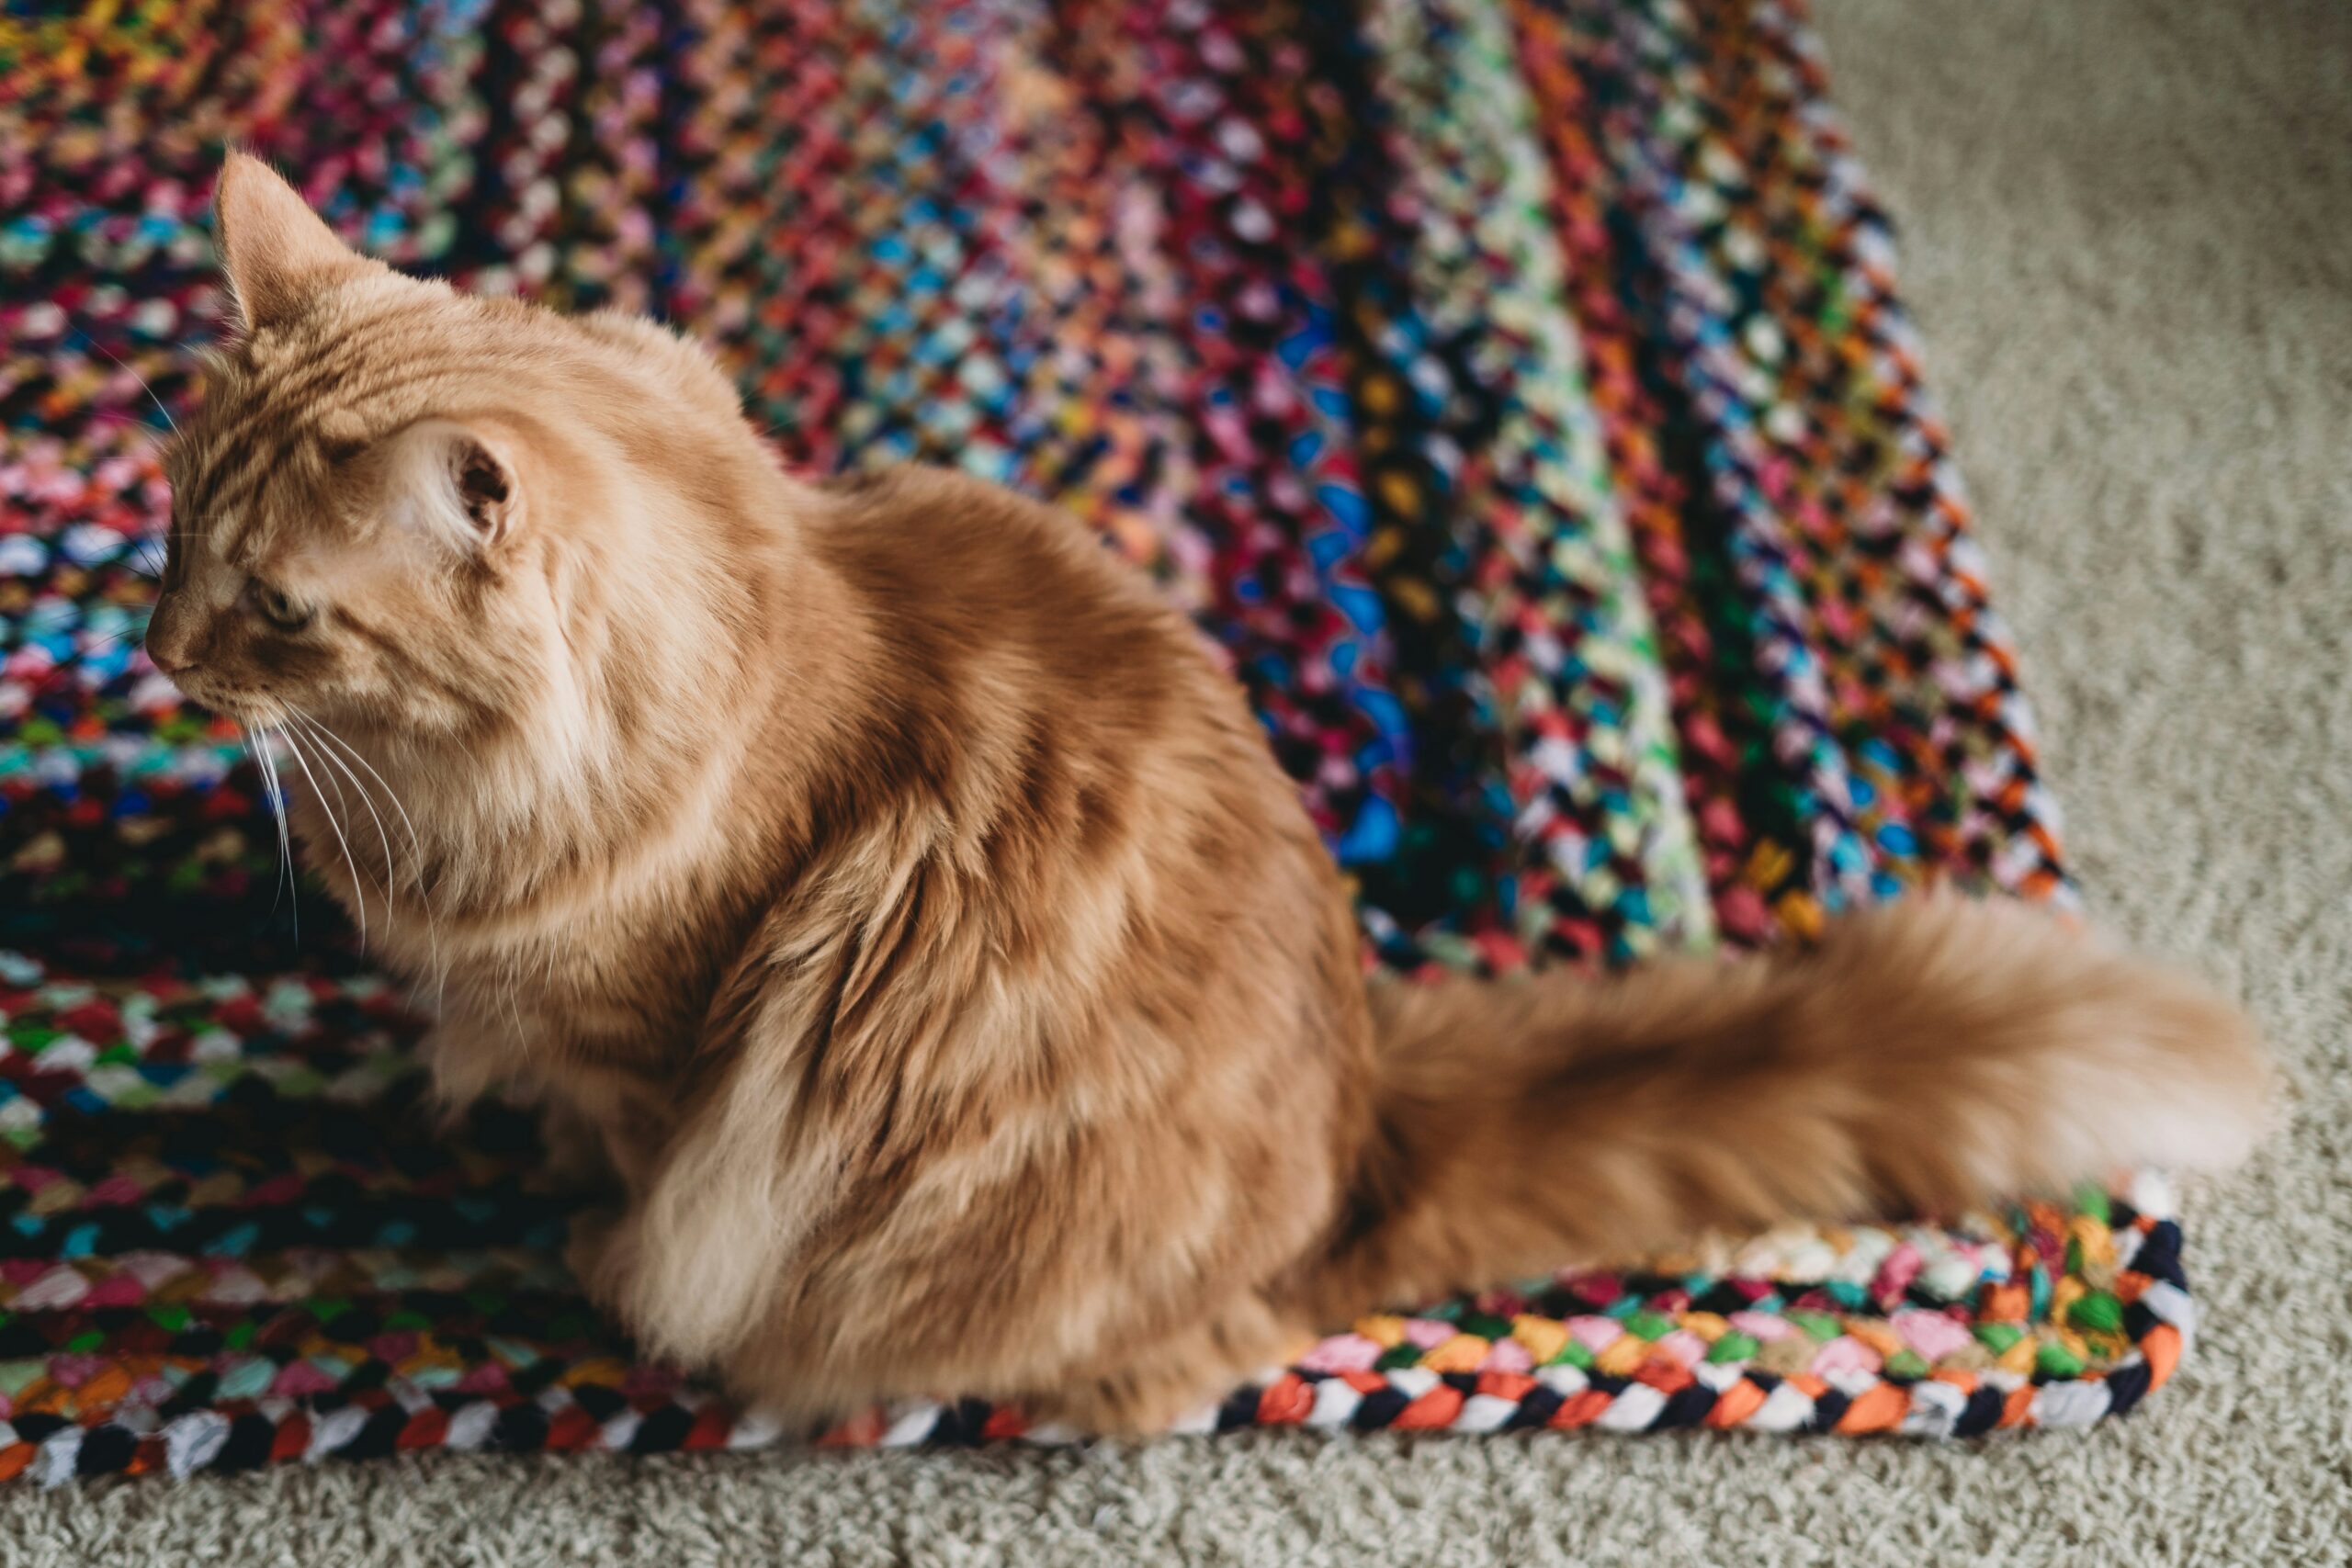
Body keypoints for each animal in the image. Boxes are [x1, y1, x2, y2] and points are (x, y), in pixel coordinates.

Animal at [137, 156, 2267, 1438]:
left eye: (277, 609)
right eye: (167, 534)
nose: (156, 656)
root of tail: (1366, 1125)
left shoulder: (661, 1043)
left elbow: (636, 1175)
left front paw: (583, 1245)